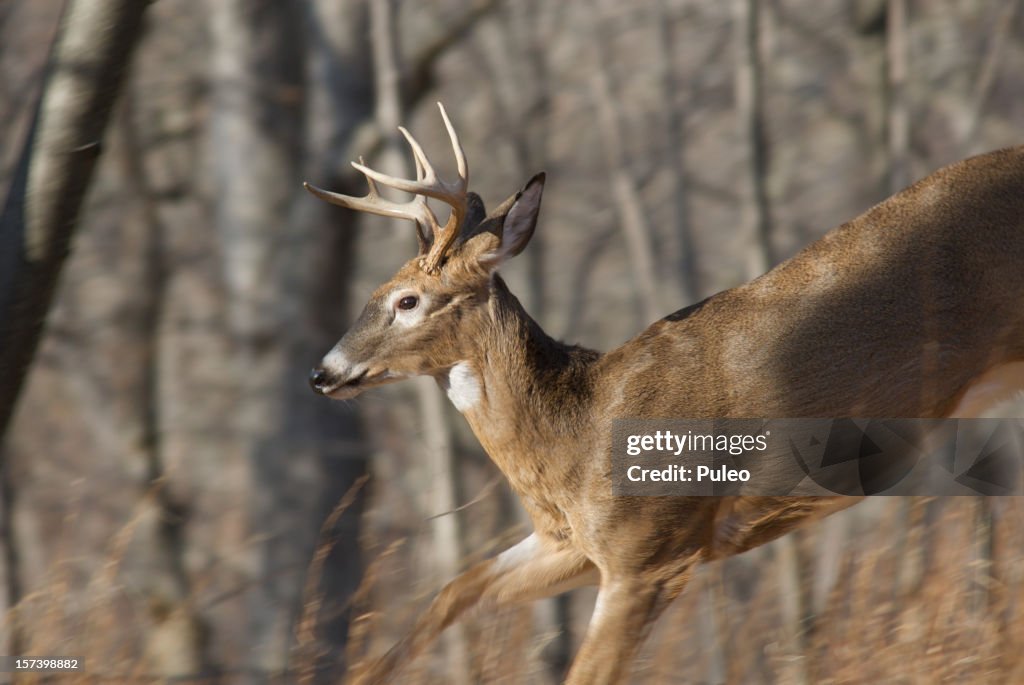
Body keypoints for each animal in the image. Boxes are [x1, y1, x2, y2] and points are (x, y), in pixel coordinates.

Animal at [305, 103, 1024, 684]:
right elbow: (456, 589)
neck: (576, 428)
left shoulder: (650, 550)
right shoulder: (573, 542)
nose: (322, 372)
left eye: (407, 300)